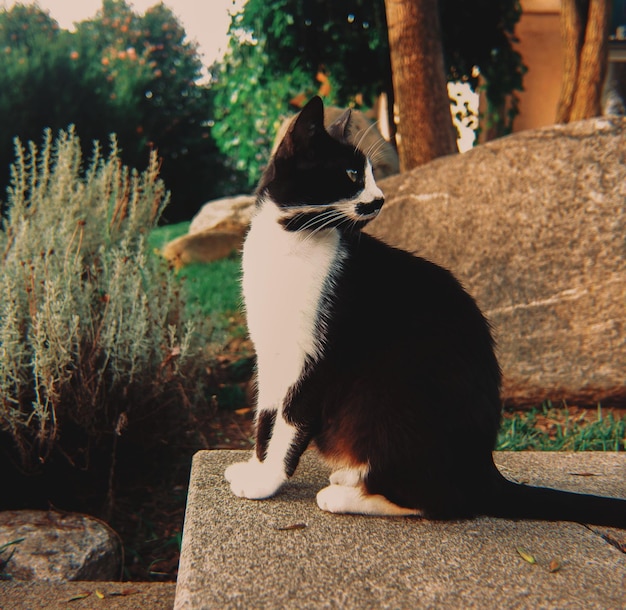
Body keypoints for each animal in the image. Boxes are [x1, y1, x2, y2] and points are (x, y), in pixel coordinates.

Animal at [224, 97, 624, 524]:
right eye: (352, 173)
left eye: (370, 173)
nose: (380, 198)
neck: (290, 241)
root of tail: (484, 469)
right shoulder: (270, 353)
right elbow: (265, 416)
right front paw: (254, 467)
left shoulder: (316, 357)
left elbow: (289, 420)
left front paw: (266, 482)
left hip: (387, 398)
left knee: (445, 501)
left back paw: (349, 496)